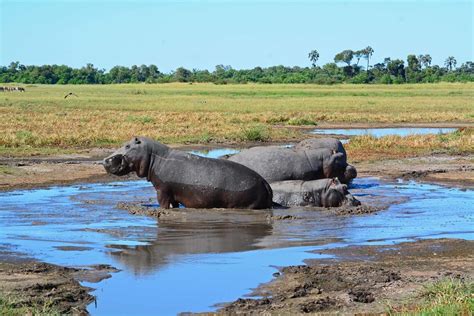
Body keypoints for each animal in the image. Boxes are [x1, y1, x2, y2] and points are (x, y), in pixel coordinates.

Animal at [103, 138, 274, 210]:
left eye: (127, 145)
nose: (105, 160)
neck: (154, 157)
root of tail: (264, 182)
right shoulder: (173, 193)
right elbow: (174, 204)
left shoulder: (162, 190)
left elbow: (163, 204)